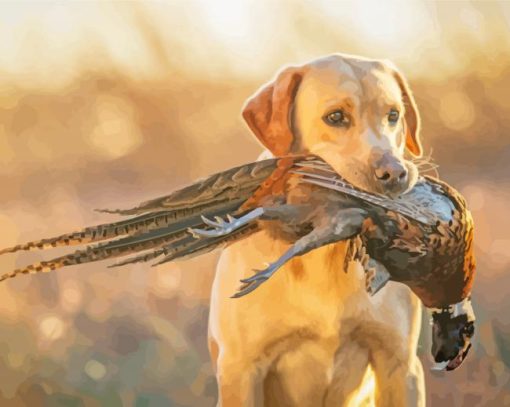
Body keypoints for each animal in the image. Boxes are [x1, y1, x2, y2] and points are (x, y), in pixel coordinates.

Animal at [208, 54, 426, 407]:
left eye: (393, 115)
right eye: (335, 117)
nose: (395, 174)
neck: (326, 259)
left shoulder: (400, 364)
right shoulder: (241, 370)